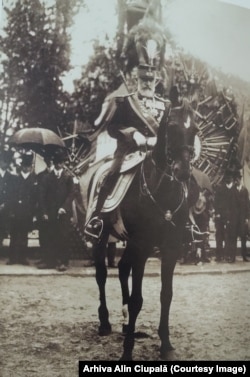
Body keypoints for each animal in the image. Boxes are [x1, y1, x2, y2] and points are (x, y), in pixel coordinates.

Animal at [88, 100, 199, 358]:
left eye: (195, 130)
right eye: (171, 127)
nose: (183, 171)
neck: (162, 190)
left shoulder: (170, 248)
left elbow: (166, 294)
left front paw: (165, 344)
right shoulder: (143, 245)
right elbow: (137, 300)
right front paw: (127, 351)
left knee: (121, 269)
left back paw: (125, 323)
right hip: (102, 237)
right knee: (101, 274)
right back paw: (105, 322)